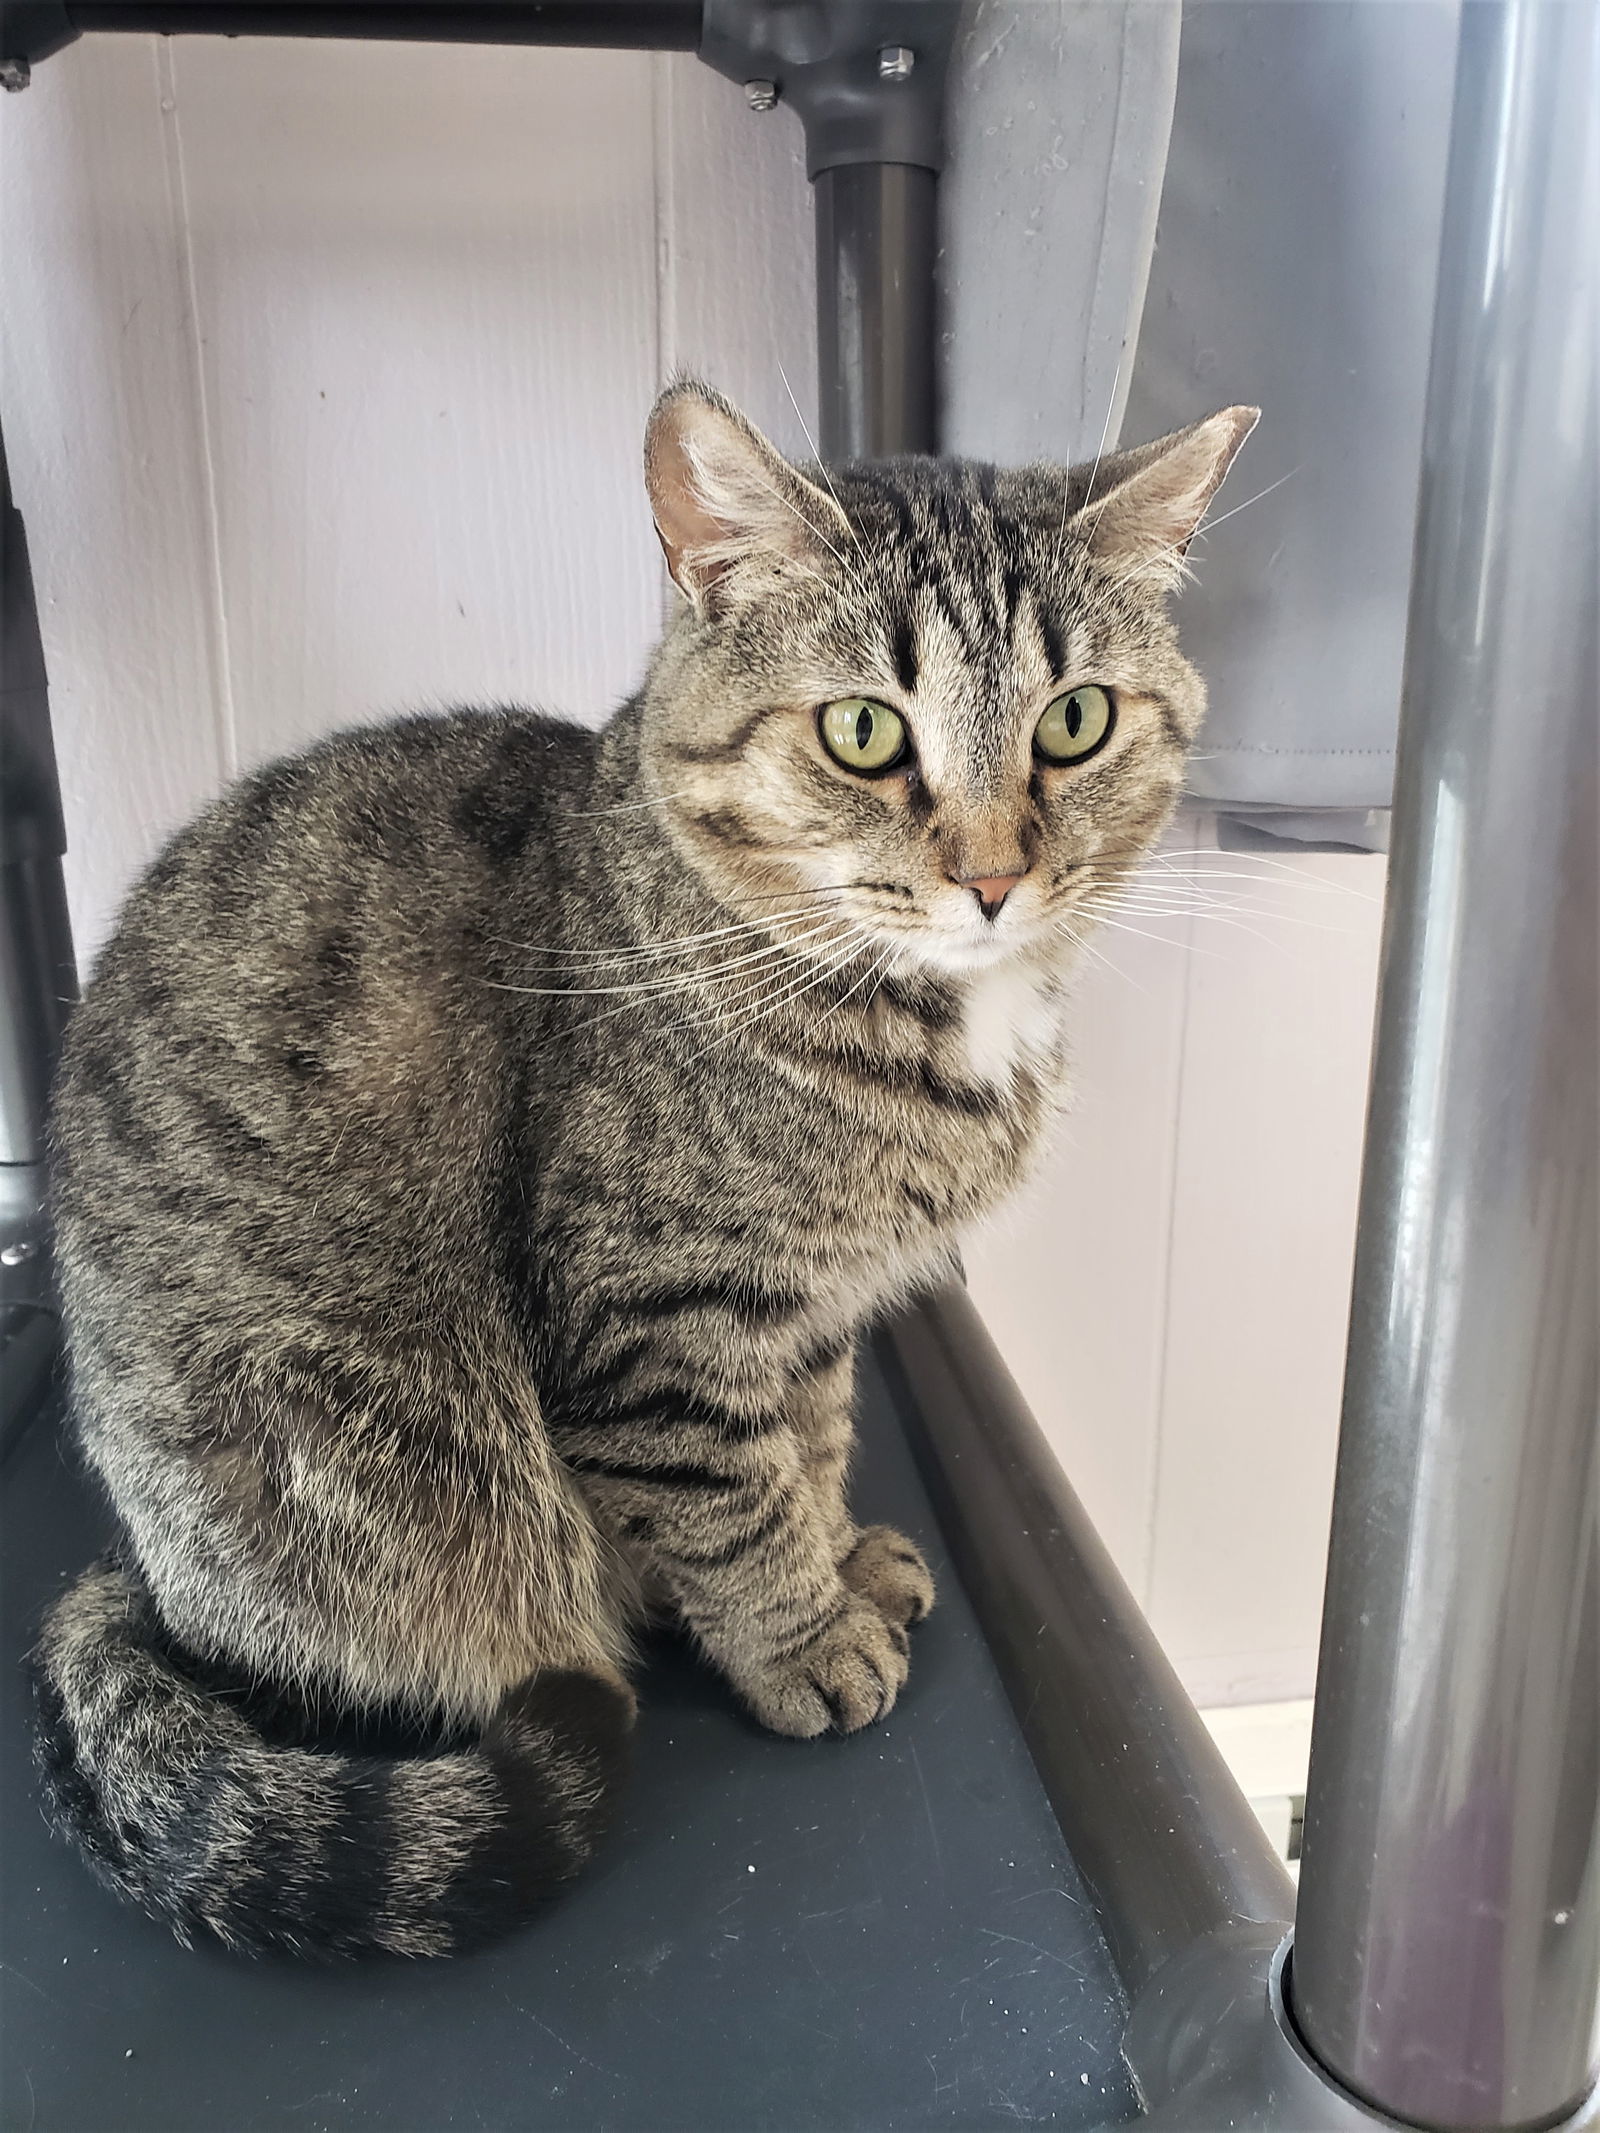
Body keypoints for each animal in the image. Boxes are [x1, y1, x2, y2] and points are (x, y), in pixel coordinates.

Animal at [34, 379, 1254, 1953]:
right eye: (865, 732)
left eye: (1078, 719)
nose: (994, 878)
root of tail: (140, 1573)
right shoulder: (652, 1321)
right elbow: (727, 1499)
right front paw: (803, 1637)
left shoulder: (807, 1315)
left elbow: (805, 1443)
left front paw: (836, 1554)